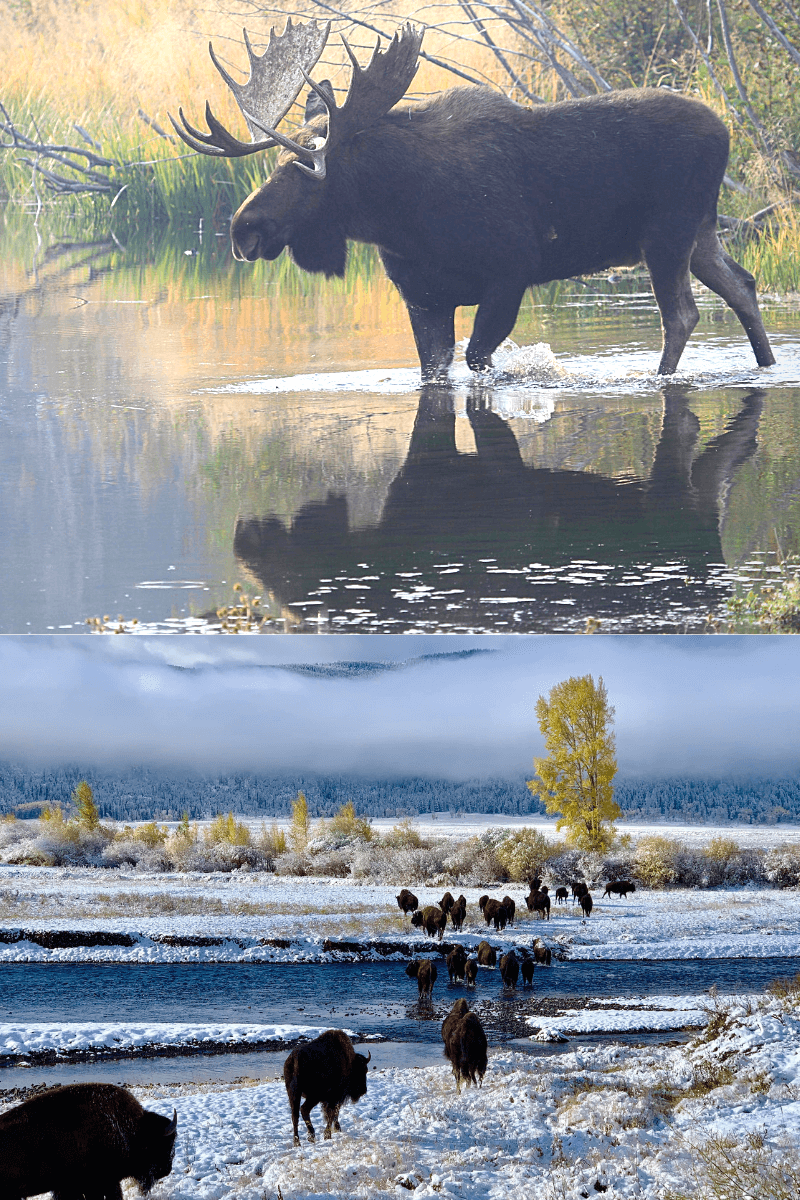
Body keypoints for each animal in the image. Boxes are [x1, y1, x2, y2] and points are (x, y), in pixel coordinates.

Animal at [170, 22, 777, 379]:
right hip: (701, 232)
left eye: (308, 171)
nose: (243, 228)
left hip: (667, 233)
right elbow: (435, 370)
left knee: (683, 314)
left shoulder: (511, 273)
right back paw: (768, 364)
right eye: (275, 162)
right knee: (743, 287)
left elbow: (478, 362)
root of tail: (727, 133)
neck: (400, 220)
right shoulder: (422, 297)